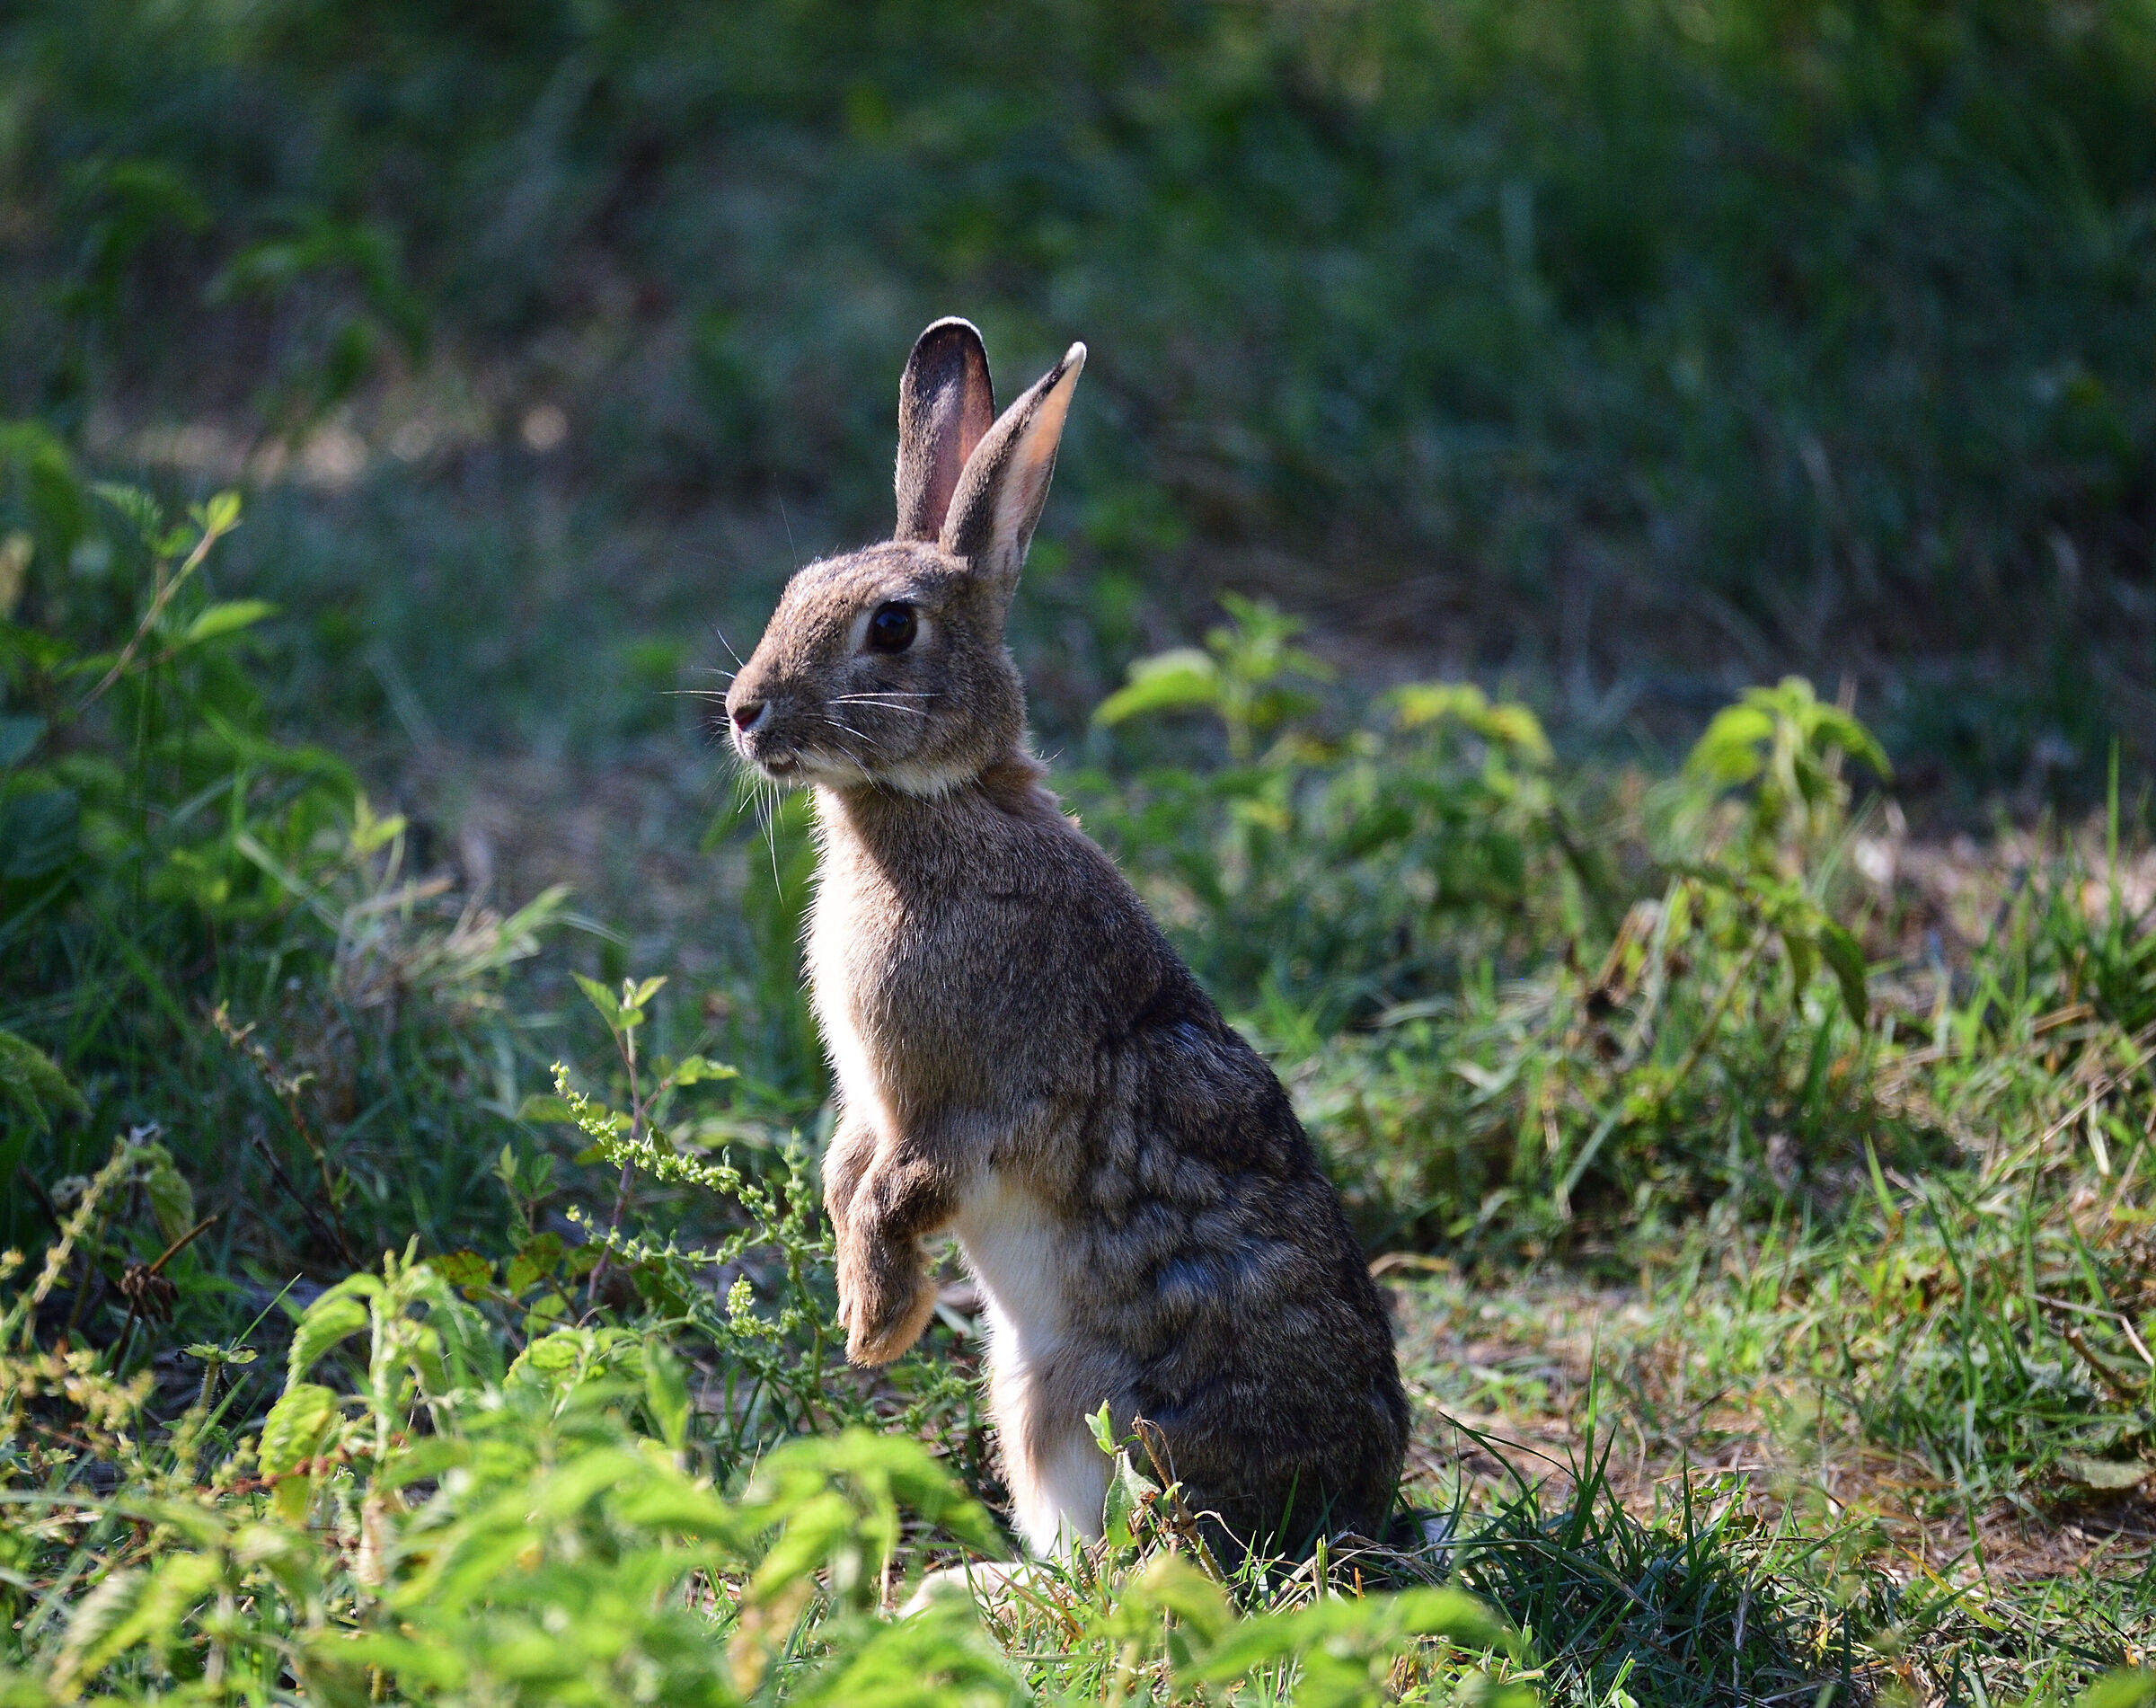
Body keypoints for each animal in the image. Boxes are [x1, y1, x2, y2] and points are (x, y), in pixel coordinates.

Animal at [723, 318, 1408, 1559]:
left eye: (891, 625)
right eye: (797, 590)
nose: (746, 711)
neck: (941, 801)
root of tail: (1359, 1500)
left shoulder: (965, 1102)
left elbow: (899, 1191)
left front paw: (873, 1327)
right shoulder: (874, 1103)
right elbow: (848, 1169)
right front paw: (859, 1305)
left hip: (1102, 1410)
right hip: (1027, 1388)